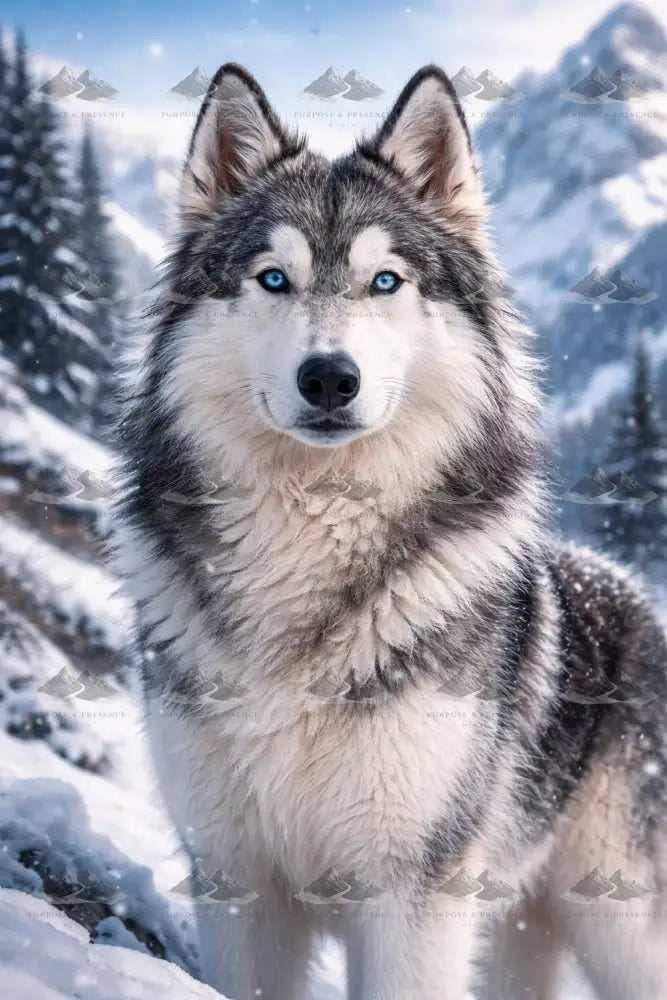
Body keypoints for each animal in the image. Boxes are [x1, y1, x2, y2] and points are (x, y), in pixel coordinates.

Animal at [114, 63, 667, 999]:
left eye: (385, 282)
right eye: (272, 279)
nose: (329, 378)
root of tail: (637, 595)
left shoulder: (413, 894)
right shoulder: (237, 885)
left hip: (619, 921)